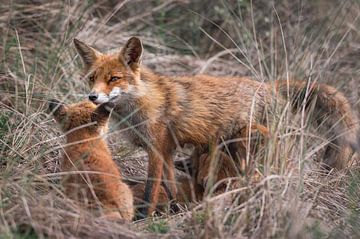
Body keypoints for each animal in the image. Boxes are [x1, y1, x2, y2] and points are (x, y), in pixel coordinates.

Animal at [72, 37, 358, 217]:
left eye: (114, 79)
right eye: (92, 78)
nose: (93, 97)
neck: (138, 104)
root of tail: (271, 86)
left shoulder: (156, 149)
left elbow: (151, 190)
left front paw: (143, 218)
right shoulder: (167, 151)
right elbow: (170, 187)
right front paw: (176, 209)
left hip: (252, 142)